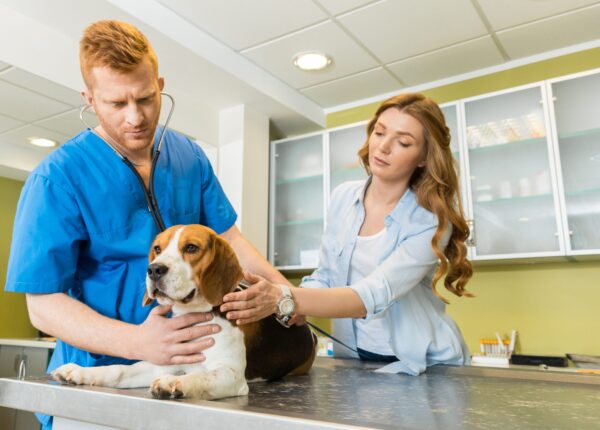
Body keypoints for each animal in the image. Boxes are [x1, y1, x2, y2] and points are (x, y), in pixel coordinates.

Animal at [52, 225, 316, 400]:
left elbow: (200, 377)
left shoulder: (231, 375)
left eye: (191, 248)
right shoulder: (163, 362)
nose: (154, 269)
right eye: (157, 248)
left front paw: (175, 381)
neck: (194, 316)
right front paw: (79, 371)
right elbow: (118, 370)